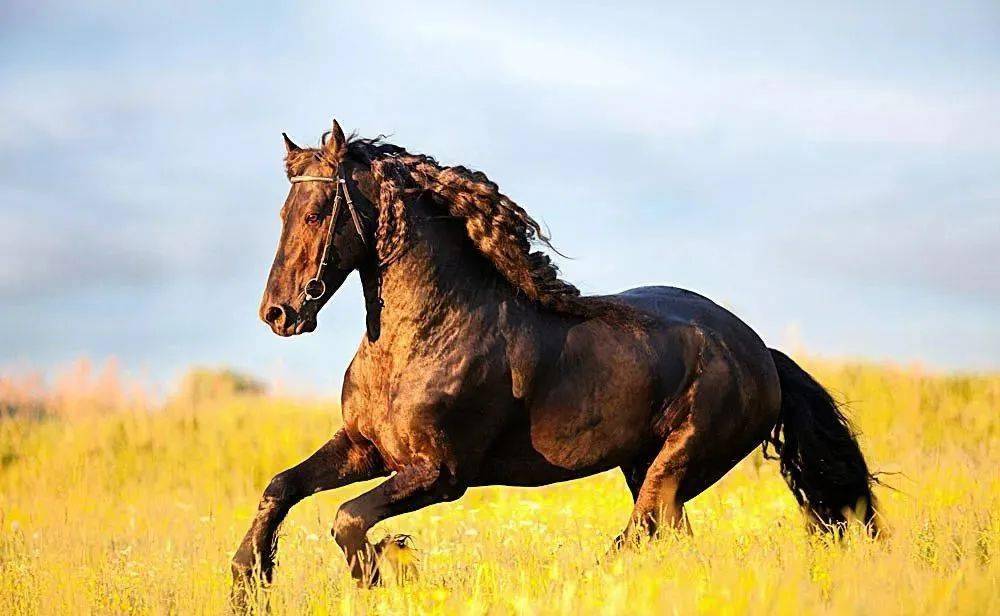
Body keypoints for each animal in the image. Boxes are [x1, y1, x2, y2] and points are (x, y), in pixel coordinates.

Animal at [230, 119, 880, 600]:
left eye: (317, 212)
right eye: (283, 214)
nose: (279, 313)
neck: (423, 337)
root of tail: (759, 352)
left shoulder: (442, 474)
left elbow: (347, 519)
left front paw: (385, 570)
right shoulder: (366, 448)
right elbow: (281, 487)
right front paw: (248, 579)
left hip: (677, 464)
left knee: (638, 535)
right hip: (647, 468)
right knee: (668, 540)